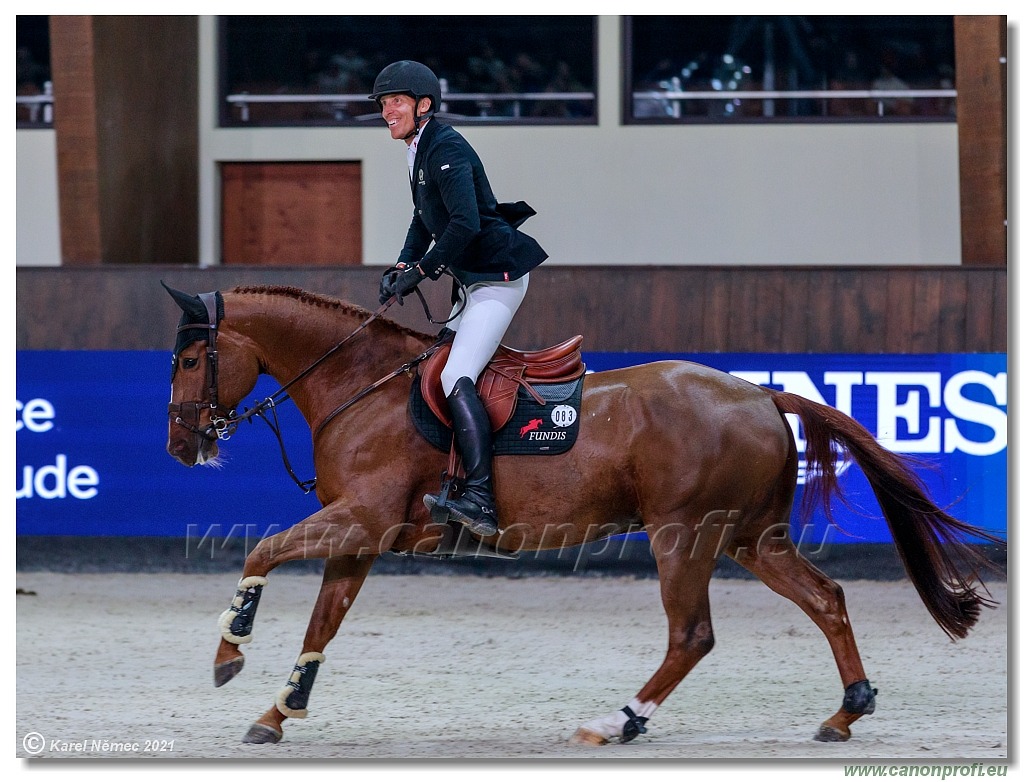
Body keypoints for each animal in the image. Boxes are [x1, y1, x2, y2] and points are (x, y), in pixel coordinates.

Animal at [161, 284, 999, 749]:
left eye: (190, 360)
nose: (178, 445)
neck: (360, 384)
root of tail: (760, 393)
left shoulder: (360, 518)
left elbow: (261, 553)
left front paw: (229, 654)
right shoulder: (363, 535)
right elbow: (322, 623)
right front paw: (279, 711)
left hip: (685, 535)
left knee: (692, 634)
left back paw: (619, 721)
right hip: (750, 537)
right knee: (826, 598)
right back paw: (846, 712)